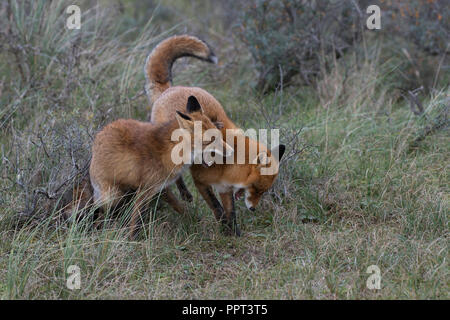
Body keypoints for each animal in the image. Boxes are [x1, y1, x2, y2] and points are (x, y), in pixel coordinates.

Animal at [90, 95, 234, 238]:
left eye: (219, 136)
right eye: (209, 141)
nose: (231, 151)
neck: (168, 151)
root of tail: (98, 136)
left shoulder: (161, 187)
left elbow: (178, 206)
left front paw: (193, 219)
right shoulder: (146, 189)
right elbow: (136, 221)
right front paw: (133, 239)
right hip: (113, 196)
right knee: (101, 210)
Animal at [146, 35, 286, 235]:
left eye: (263, 191)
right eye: (257, 189)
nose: (253, 209)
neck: (228, 166)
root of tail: (170, 89)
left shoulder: (225, 188)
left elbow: (230, 211)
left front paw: (234, 232)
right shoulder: (201, 183)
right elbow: (216, 207)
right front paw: (224, 228)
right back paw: (185, 194)